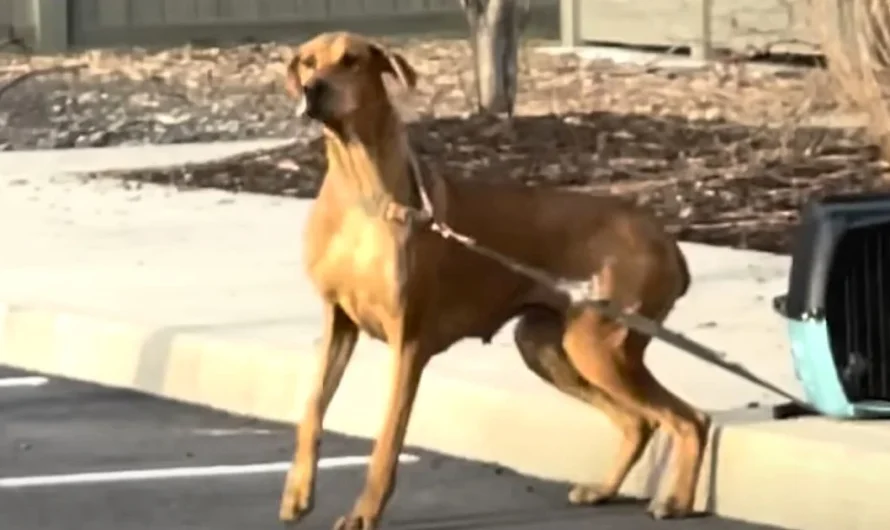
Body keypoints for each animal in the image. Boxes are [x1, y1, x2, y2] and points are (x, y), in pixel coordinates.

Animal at [278, 31, 708, 524]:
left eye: (351, 61)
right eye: (308, 62)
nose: (313, 90)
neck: (361, 190)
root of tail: (666, 239)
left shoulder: (408, 341)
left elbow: (387, 439)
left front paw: (365, 514)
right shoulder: (338, 321)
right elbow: (312, 409)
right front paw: (297, 494)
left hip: (600, 345)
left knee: (689, 419)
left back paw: (676, 500)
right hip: (545, 344)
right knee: (639, 420)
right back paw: (603, 490)